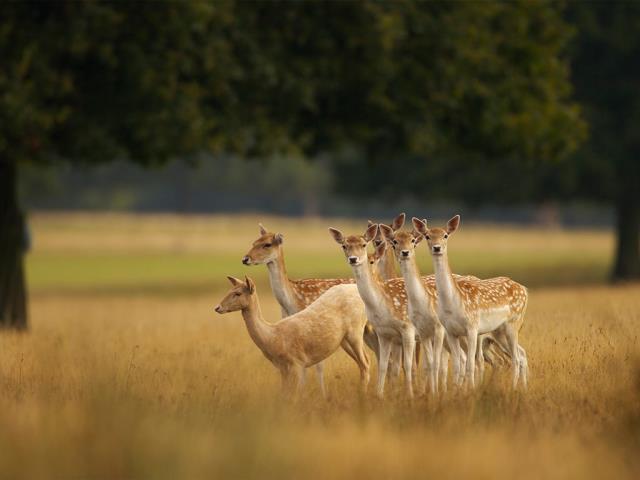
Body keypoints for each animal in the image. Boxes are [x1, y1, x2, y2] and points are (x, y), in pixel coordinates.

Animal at [214, 276, 370, 397]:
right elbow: (284, 394)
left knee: (365, 362)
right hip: (344, 340)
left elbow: (293, 396)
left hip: (355, 331)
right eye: (229, 291)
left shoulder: (297, 363)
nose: (217, 307)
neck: (273, 337)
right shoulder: (283, 368)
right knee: (362, 363)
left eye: (238, 293)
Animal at [329, 223, 418, 399]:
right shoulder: (386, 334)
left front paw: (410, 396)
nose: (353, 259)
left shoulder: (408, 329)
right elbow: (385, 365)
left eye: (364, 244)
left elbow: (407, 365)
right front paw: (381, 395)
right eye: (344, 245)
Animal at [412, 216, 529, 390]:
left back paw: (514, 388)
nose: (437, 248)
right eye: (427, 236)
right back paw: (523, 387)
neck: (454, 303)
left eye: (445, 235)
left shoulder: (472, 327)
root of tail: (525, 290)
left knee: (515, 358)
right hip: (499, 331)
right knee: (521, 354)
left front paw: (471, 390)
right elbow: (457, 365)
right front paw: (457, 390)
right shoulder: (451, 331)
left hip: (514, 323)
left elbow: (470, 365)